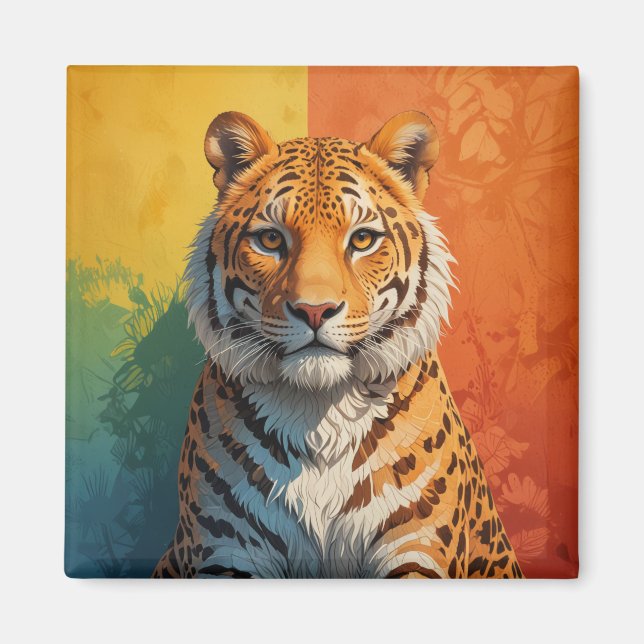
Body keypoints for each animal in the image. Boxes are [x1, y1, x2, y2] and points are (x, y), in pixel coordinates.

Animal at [153, 110, 523, 579]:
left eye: (362, 240)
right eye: (271, 240)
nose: (315, 310)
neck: (319, 413)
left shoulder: (418, 548)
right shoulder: (227, 552)